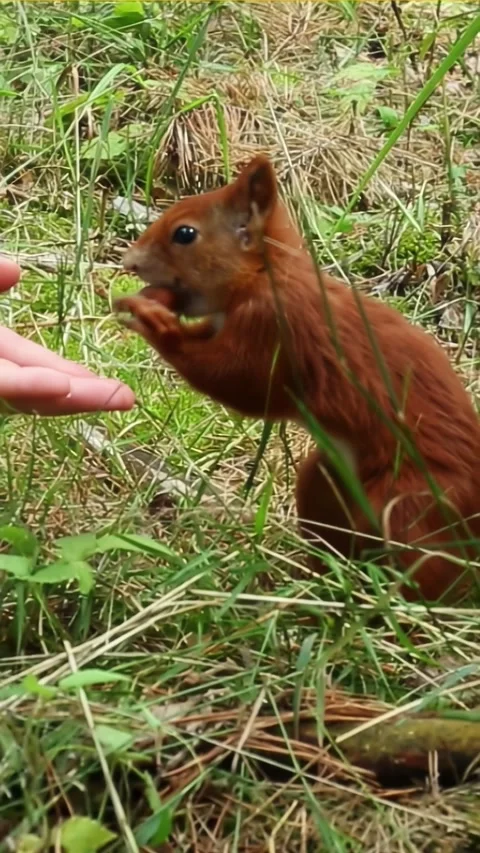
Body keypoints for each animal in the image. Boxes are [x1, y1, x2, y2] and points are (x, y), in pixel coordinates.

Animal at [116, 155, 480, 602]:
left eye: (185, 233)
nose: (130, 262)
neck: (266, 275)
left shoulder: (275, 327)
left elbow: (242, 383)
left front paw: (154, 322)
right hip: (326, 483)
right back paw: (320, 583)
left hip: (415, 506)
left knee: (428, 569)